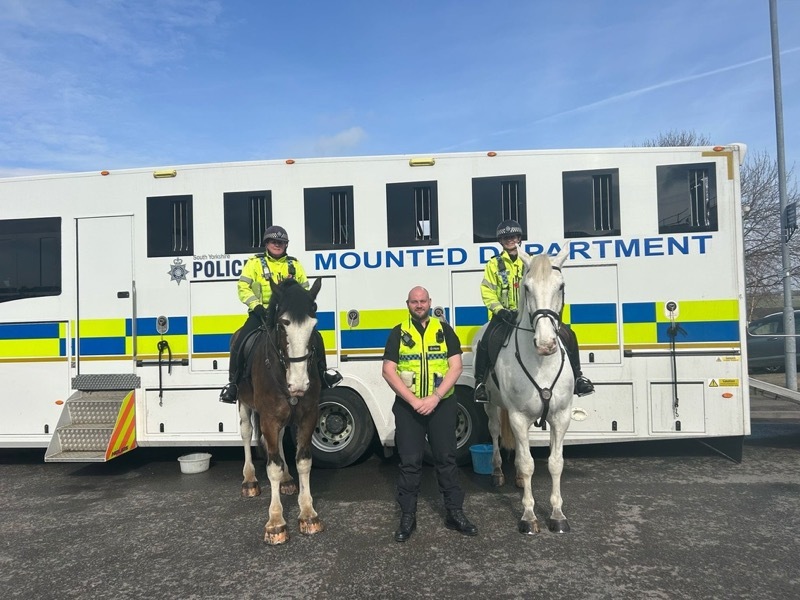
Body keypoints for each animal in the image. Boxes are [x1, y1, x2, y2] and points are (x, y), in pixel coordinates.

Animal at [234, 276, 324, 544]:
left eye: (313, 326)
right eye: (283, 325)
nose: (299, 384)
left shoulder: (307, 416)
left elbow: (303, 462)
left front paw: (308, 514)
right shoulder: (269, 419)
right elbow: (272, 467)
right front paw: (275, 523)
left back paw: (286, 480)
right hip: (243, 405)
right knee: (246, 433)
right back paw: (249, 480)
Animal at [476, 247, 576, 536]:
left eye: (560, 286)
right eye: (527, 288)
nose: (545, 344)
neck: (540, 362)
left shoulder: (560, 416)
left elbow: (555, 463)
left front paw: (557, 515)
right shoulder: (518, 417)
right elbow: (529, 463)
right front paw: (529, 517)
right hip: (492, 406)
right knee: (496, 433)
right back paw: (498, 473)